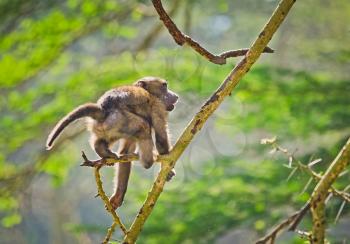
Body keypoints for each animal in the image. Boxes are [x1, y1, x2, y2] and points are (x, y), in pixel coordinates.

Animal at [46, 77, 178, 209]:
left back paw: (102, 150)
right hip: (120, 119)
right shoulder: (157, 105)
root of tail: (103, 109)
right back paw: (147, 161)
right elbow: (161, 139)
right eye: (164, 86)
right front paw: (167, 167)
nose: (175, 96)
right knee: (143, 126)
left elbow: (125, 151)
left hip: (106, 125)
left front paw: (118, 196)